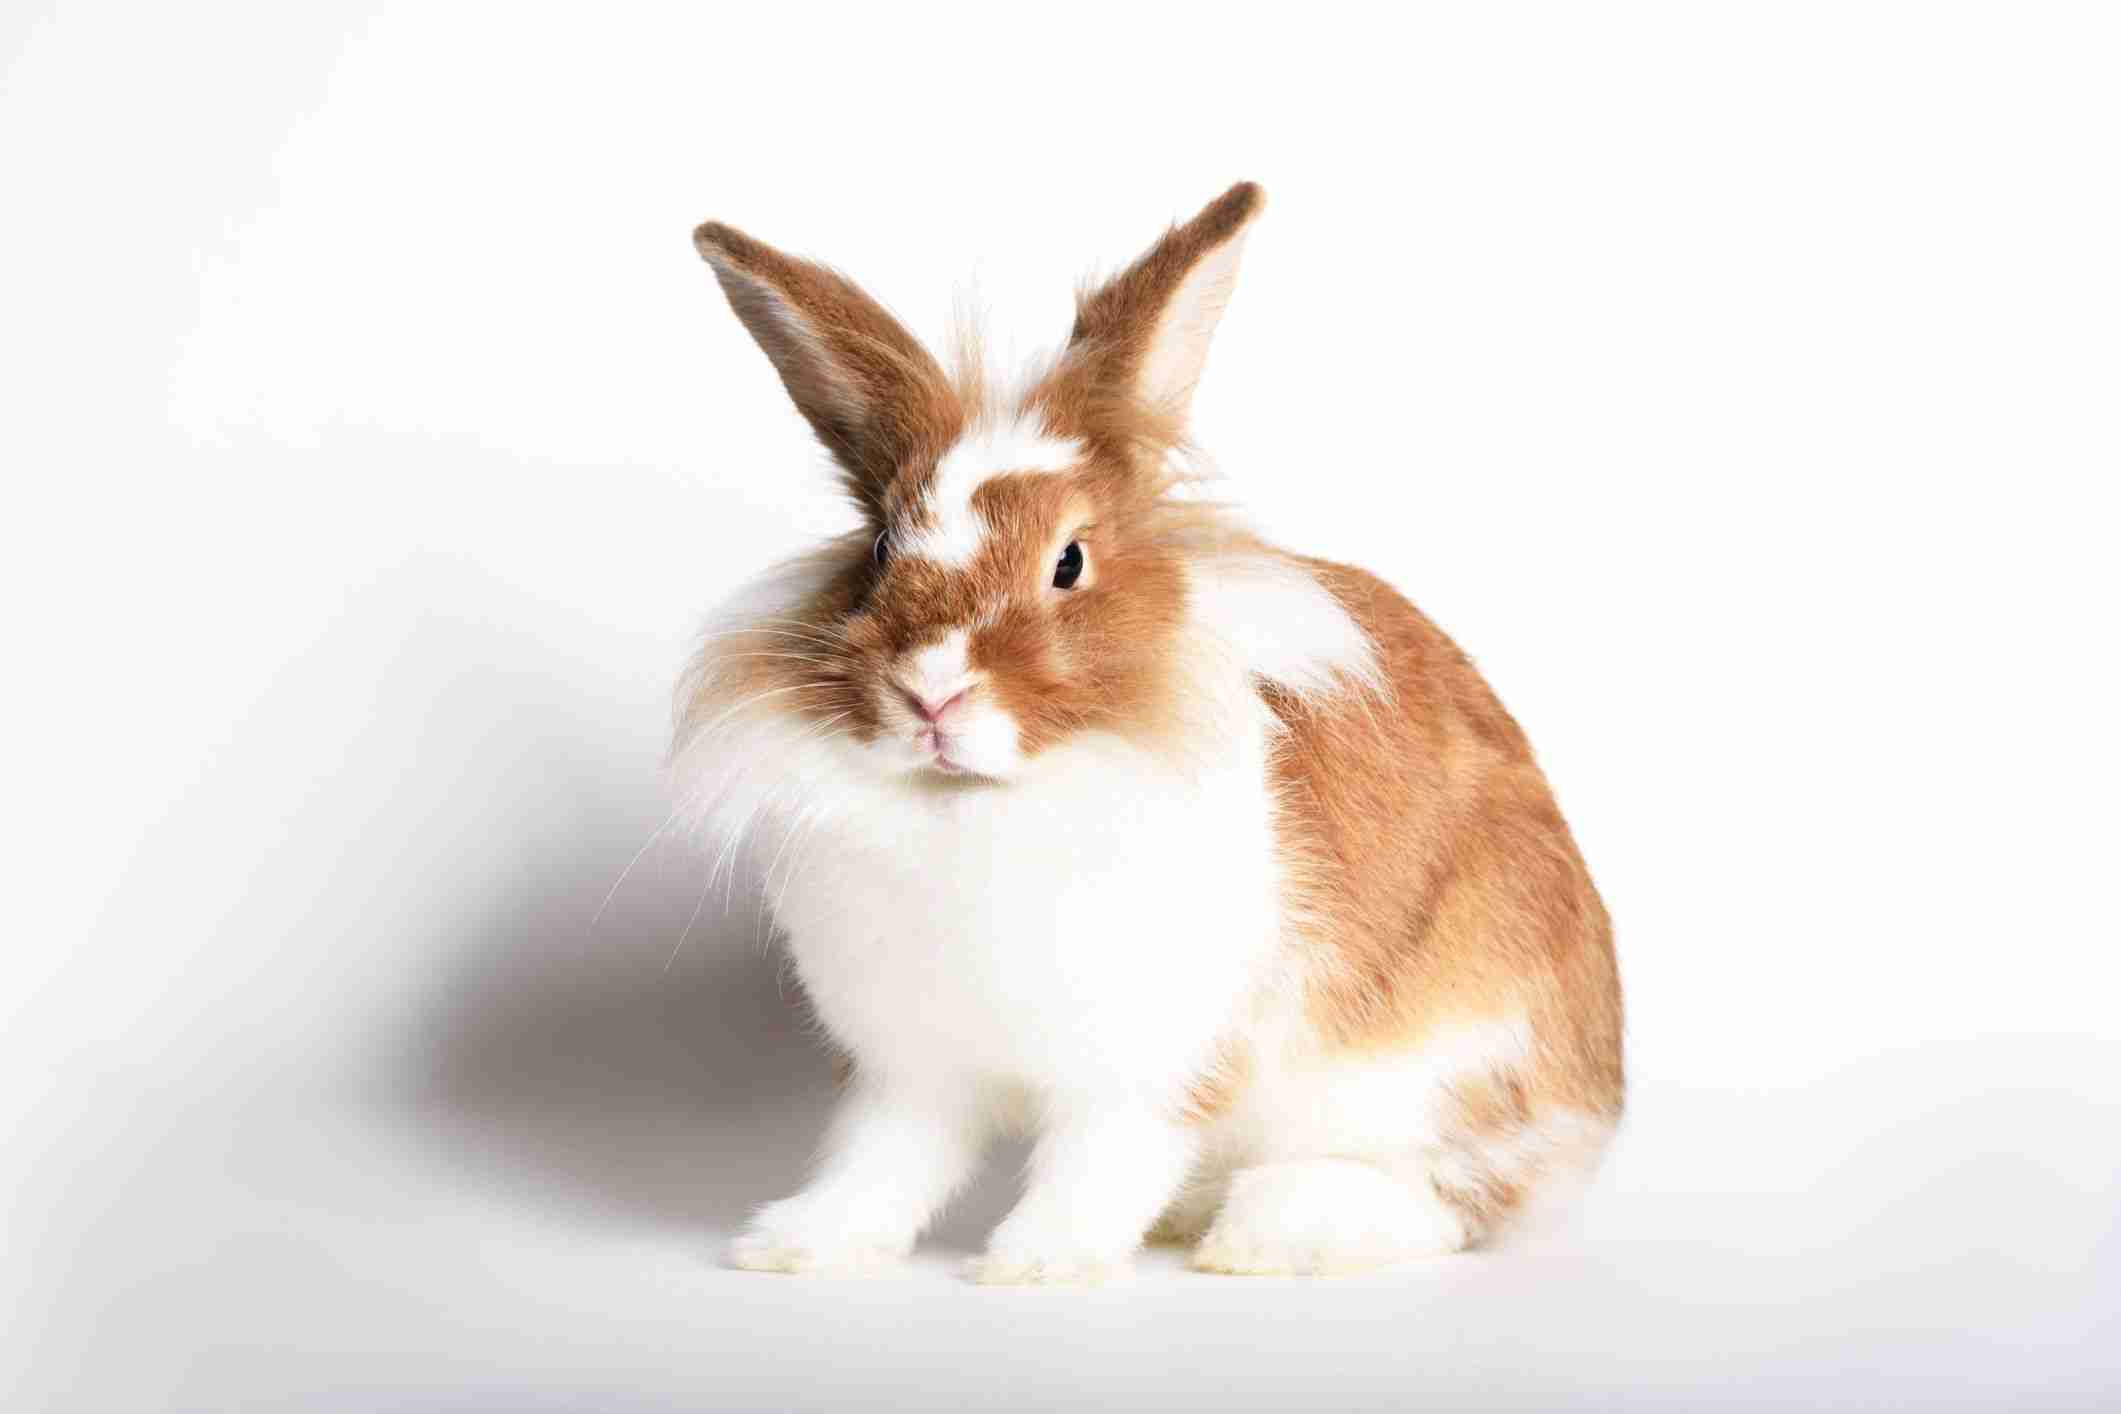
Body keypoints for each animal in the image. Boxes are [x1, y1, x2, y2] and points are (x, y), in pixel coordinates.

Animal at [674, 182, 1623, 1283]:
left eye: (1069, 562)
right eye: (875, 550)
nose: (930, 696)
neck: (978, 809)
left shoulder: (1149, 1067)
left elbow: (1103, 1163)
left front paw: (1036, 1261)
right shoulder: (910, 1070)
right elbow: (882, 1164)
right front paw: (794, 1244)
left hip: (1450, 1063)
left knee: (1454, 1200)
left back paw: (1266, 1231)